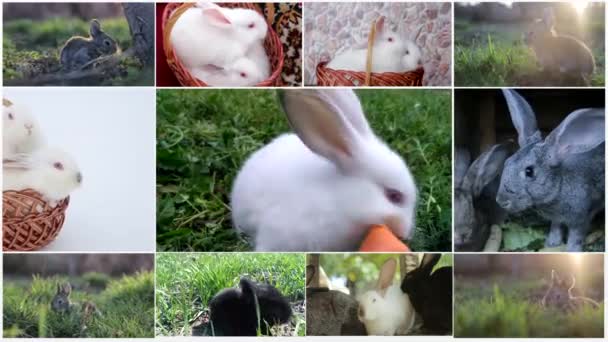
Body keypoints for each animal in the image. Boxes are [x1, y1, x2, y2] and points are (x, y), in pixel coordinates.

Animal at [496, 91, 604, 251]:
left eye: (529, 171)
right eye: (507, 162)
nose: (501, 201)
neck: (559, 187)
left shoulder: (580, 217)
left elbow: (576, 235)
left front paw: (572, 250)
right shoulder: (556, 218)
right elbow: (555, 227)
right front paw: (552, 243)